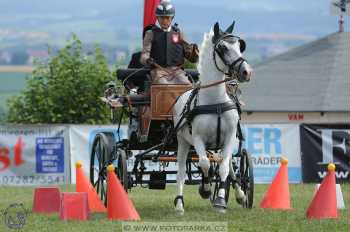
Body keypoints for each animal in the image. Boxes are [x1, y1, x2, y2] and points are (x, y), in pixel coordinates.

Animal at [172, 21, 252, 214]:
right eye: (223, 48)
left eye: (239, 46)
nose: (246, 72)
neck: (215, 102)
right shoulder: (198, 139)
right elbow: (204, 164)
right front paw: (206, 189)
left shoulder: (229, 137)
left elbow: (223, 168)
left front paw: (221, 200)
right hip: (182, 141)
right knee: (181, 172)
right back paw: (179, 204)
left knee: (228, 165)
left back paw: (240, 194)